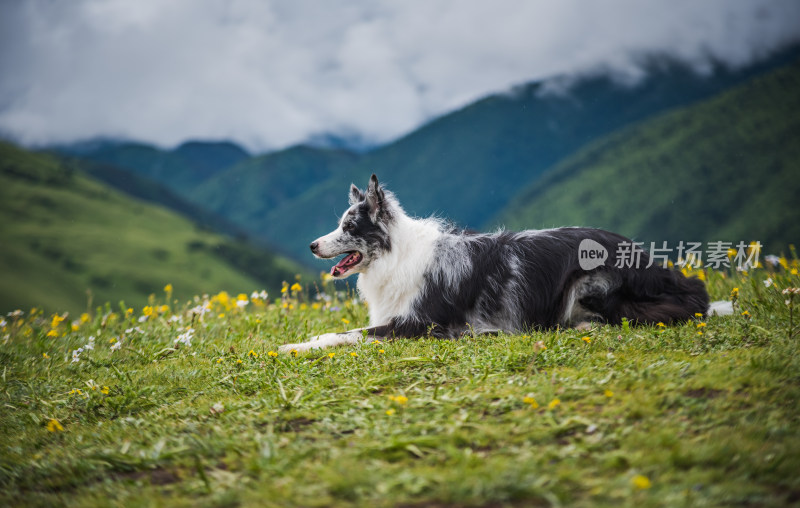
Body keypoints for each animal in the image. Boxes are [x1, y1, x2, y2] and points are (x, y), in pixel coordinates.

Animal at [278, 176, 728, 354]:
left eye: (349, 226)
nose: (313, 245)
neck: (396, 253)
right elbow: (340, 330)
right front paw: (300, 341)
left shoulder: (420, 324)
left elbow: (346, 334)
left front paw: (294, 346)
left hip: (592, 279)